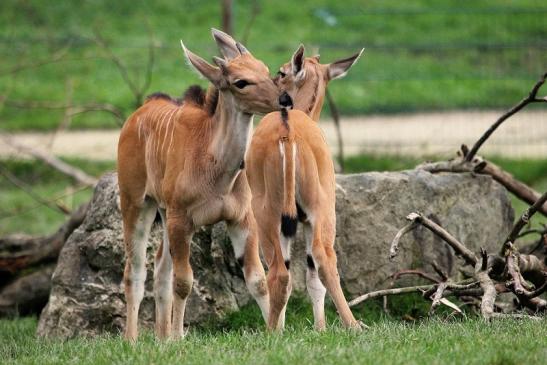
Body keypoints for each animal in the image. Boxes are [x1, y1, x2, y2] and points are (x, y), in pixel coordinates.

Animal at [116, 29, 282, 342]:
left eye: (267, 70)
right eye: (240, 82)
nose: (286, 99)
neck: (217, 169)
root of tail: (139, 112)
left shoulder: (242, 218)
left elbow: (258, 279)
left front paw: (275, 332)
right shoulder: (183, 220)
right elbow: (184, 282)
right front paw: (178, 338)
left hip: (165, 213)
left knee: (160, 267)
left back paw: (161, 338)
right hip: (136, 204)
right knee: (135, 270)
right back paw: (133, 339)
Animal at [248, 45, 364, 330]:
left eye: (282, 72)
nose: (275, 91)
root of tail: (287, 133)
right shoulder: (309, 218)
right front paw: (320, 329)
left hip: (272, 215)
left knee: (283, 272)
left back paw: (273, 331)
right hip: (316, 212)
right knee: (319, 262)